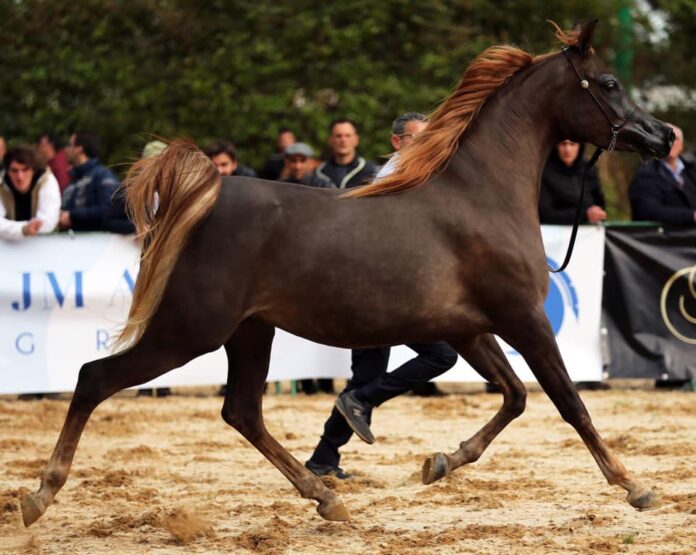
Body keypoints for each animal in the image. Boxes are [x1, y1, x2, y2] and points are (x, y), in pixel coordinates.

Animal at [21, 20, 673, 527]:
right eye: (609, 84)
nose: (663, 136)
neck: (480, 195)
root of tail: (211, 193)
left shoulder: (466, 329)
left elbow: (514, 397)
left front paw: (440, 462)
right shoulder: (524, 318)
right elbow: (569, 402)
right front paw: (634, 486)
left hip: (250, 331)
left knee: (242, 412)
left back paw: (326, 499)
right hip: (190, 330)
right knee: (94, 378)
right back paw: (40, 495)